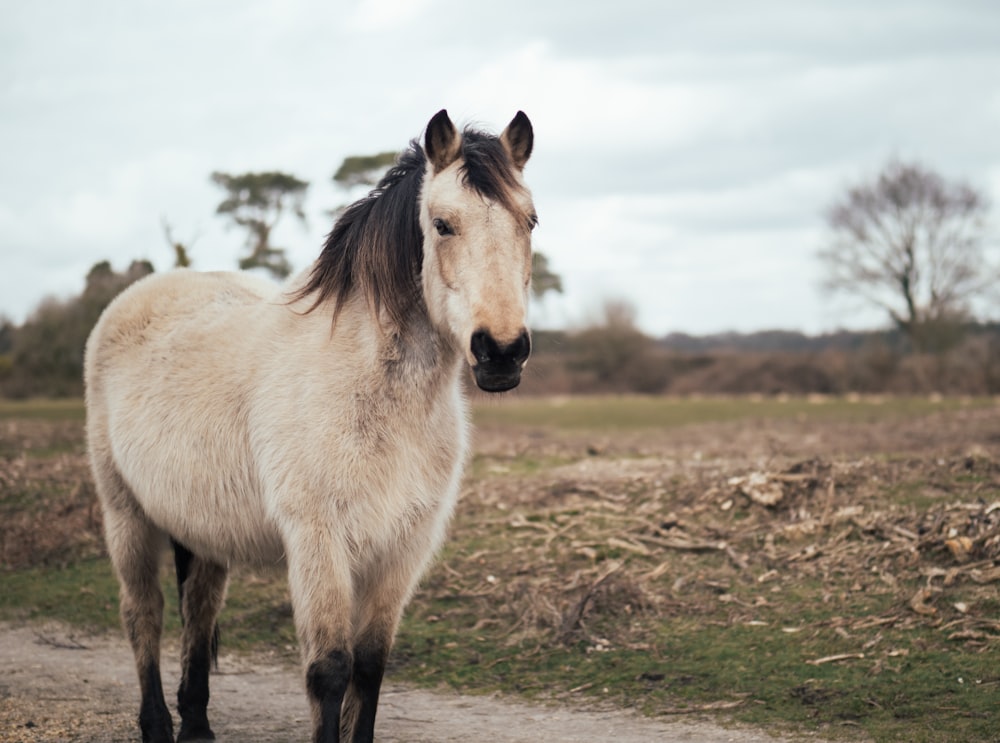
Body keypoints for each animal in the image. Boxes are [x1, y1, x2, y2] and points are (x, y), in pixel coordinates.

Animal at [85, 110, 536, 743]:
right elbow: (330, 670)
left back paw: (196, 725)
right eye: (443, 224)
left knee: (199, 612)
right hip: (125, 514)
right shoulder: (319, 542)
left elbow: (369, 666)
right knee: (143, 616)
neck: (376, 393)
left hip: (203, 530)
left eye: (530, 220)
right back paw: (155, 725)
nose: (501, 352)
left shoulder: (403, 547)